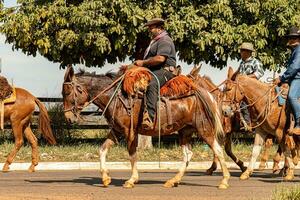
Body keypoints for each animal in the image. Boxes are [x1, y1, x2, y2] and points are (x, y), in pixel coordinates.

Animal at [62, 65, 231, 189]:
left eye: (67, 92)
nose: (69, 118)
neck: (117, 97)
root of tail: (203, 93)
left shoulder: (129, 132)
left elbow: (132, 154)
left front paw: (132, 180)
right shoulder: (116, 131)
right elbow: (102, 150)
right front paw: (105, 178)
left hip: (204, 130)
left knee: (218, 150)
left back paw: (224, 181)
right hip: (185, 131)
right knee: (188, 154)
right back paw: (173, 180)